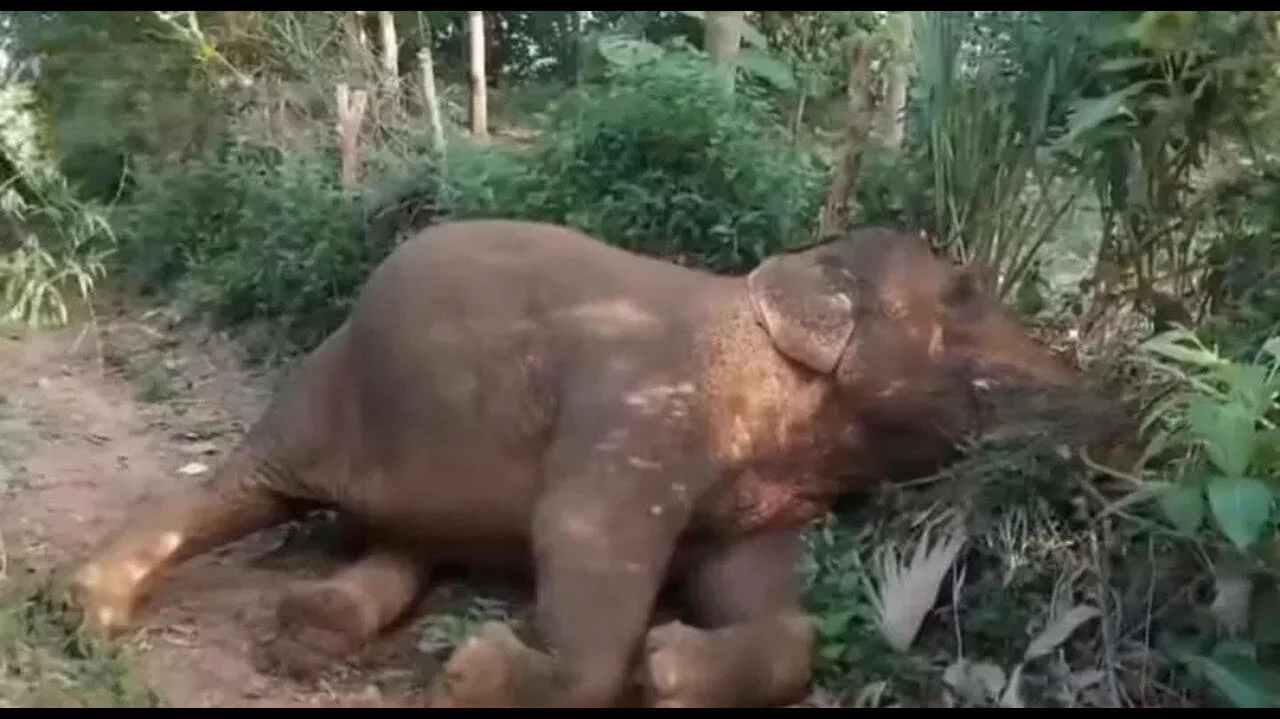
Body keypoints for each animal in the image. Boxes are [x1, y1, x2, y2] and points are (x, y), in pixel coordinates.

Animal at [61, 219, 1100, 707]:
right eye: (964, 293)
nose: (1107, 392)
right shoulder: (634, 411)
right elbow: (582, 539)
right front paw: (475, 672)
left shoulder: (756, 506)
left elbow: (771, 606)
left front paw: (673, 663)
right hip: (323, 384)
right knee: (244, 482)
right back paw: (91, 607)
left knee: (403, 545)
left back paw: (308, 633)